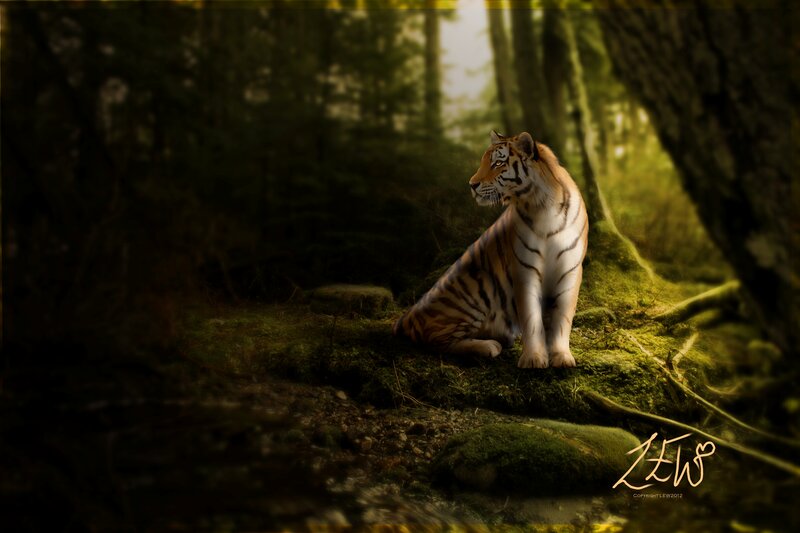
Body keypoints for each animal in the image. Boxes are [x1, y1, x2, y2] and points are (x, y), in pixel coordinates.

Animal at [393, 131, 588, 368]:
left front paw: (561, 357)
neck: (542, 206)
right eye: (483, 161)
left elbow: (563, 317)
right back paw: (489, 346)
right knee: (437, 339)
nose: (472, 184)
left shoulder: (570, 268)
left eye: (497, 163)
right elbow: (531, 317)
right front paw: (533, 359)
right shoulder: (524, 269)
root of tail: (407, 316)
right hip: (475, 287)